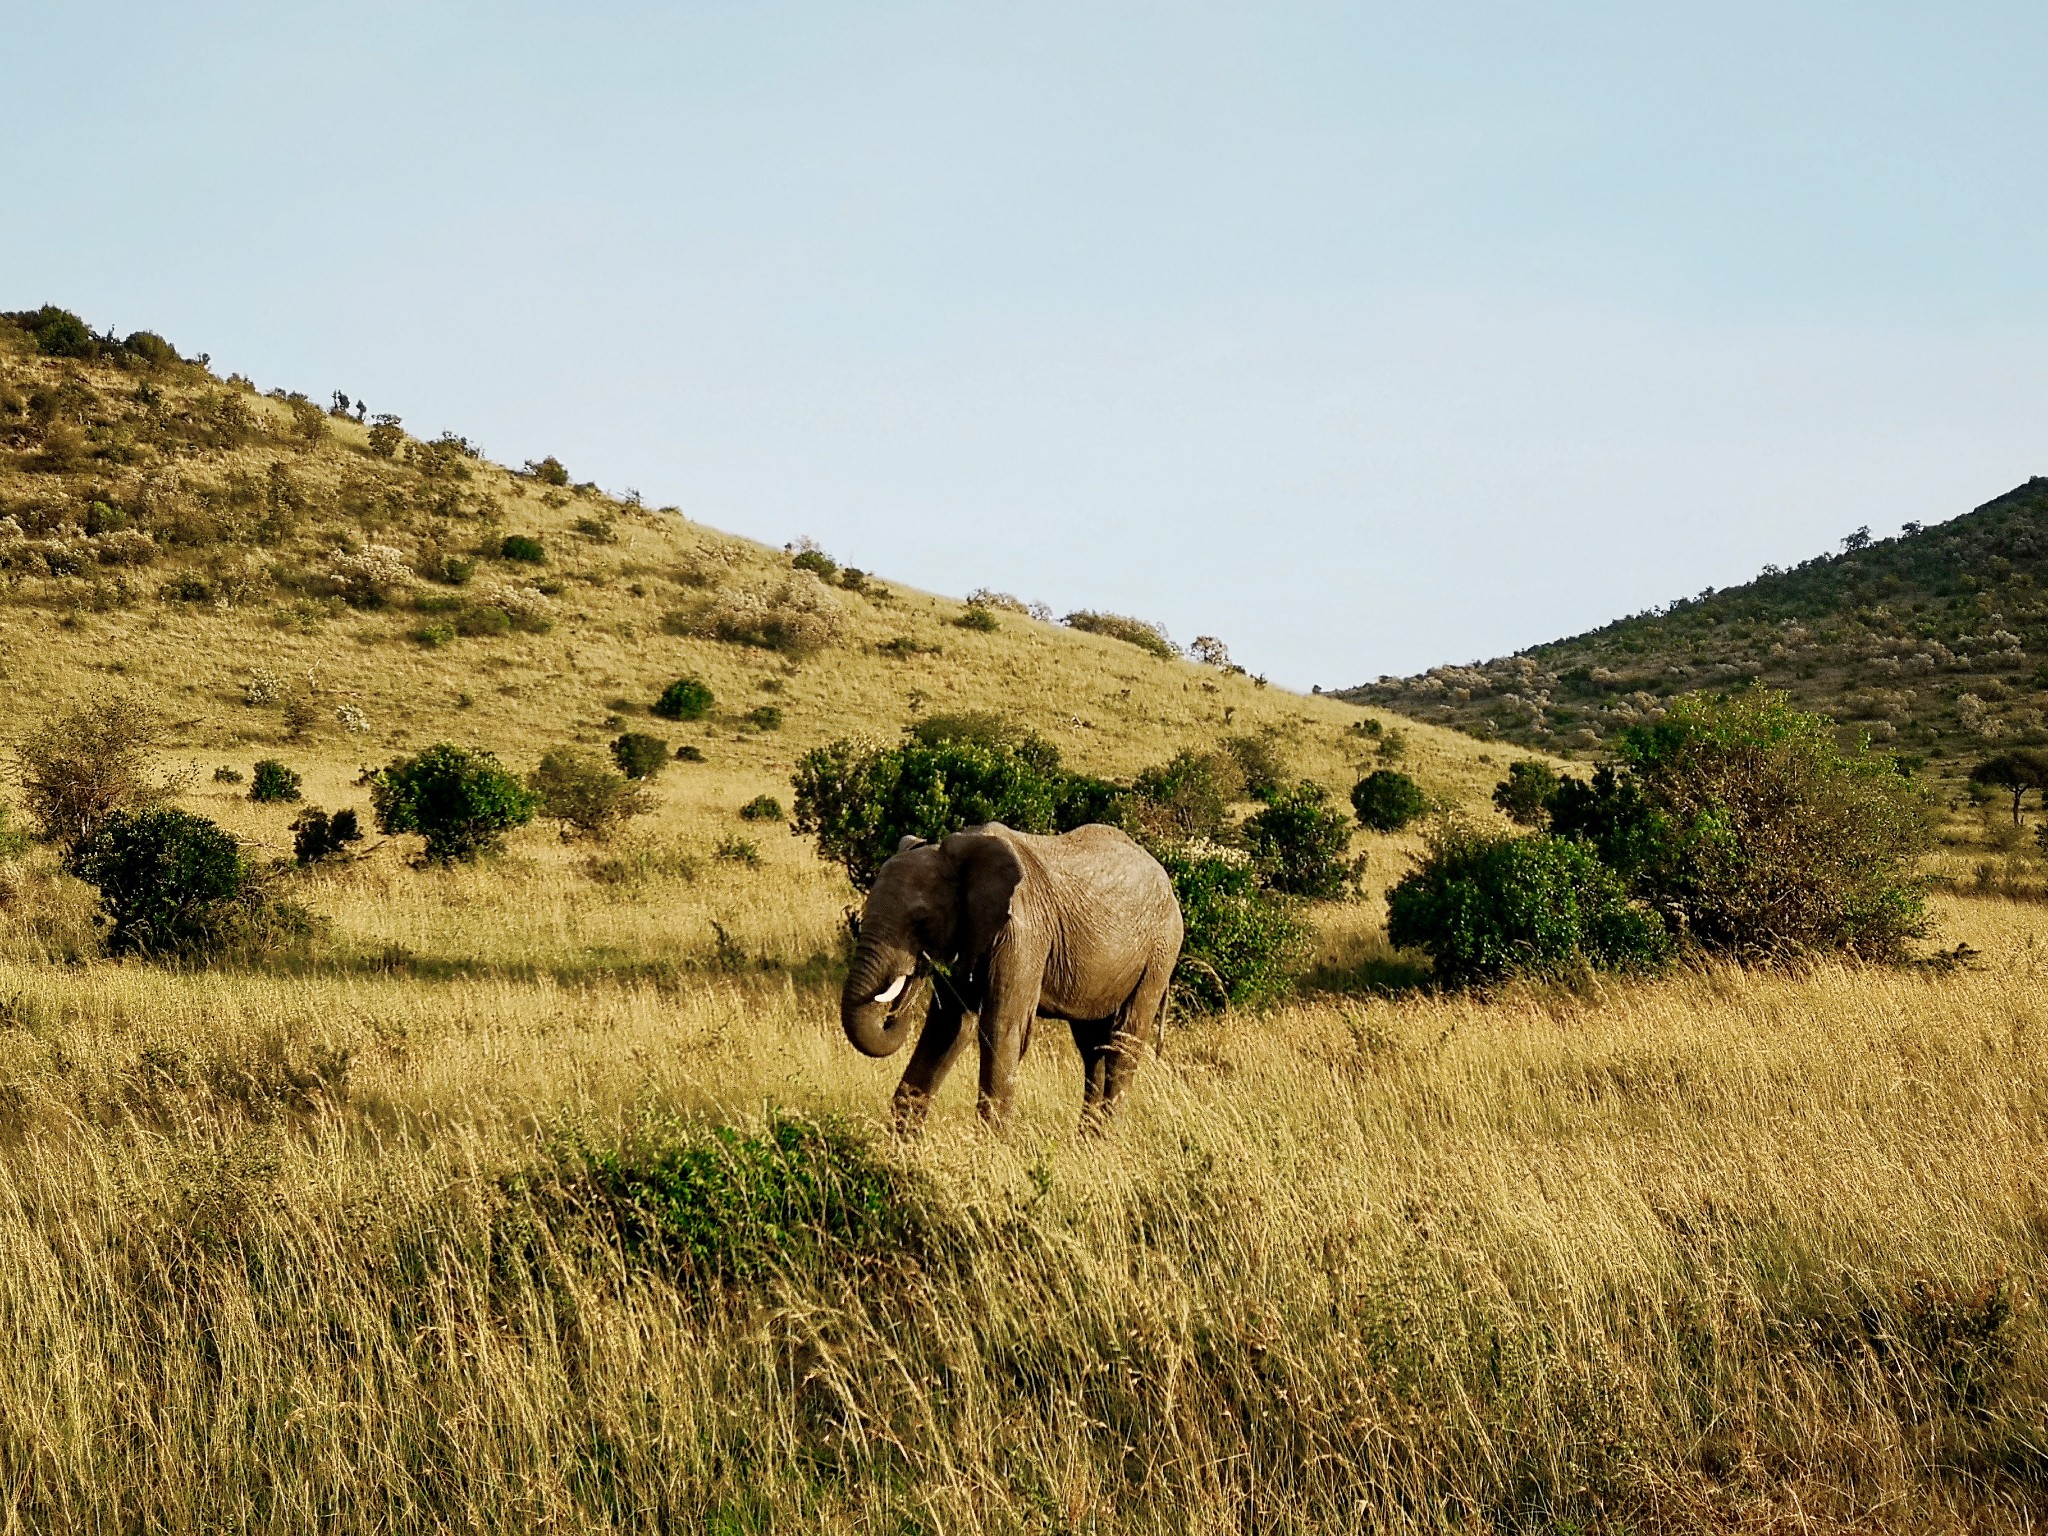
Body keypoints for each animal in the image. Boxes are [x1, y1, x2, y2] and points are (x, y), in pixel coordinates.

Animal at [835, 823, 1187, 1138]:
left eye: (922, 921)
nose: (913, 972)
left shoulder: (1022, 933)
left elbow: (1001, 1027)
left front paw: (992, 1147)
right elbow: (948, 1027)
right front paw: (903, 1146)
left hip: (1160, 952)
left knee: (1122, 1042)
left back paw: (1104, 1141)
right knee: (1093, 1047)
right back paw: (1086, 1142)